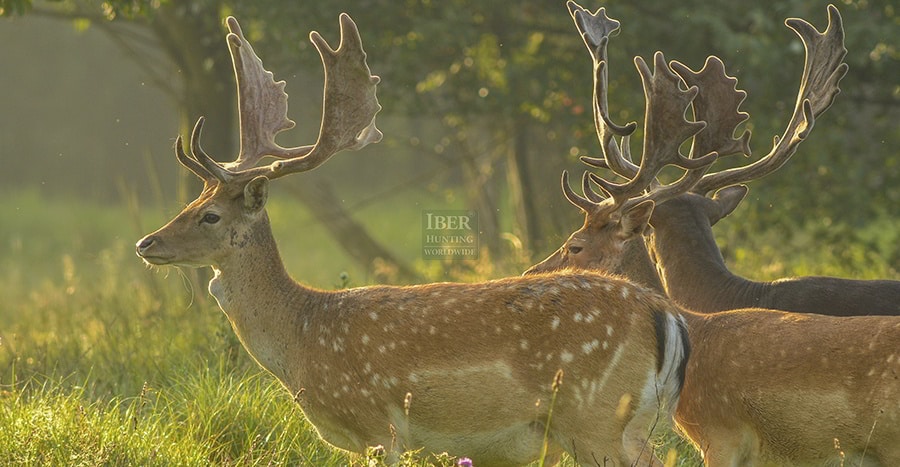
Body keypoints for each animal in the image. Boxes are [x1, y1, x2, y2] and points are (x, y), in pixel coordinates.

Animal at [132, 12, 688, 466]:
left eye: (210, 215)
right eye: (191, 203)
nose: (147, 244)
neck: (300, 337)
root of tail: (666, 315)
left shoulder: (378, 425)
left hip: (594, 416)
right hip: (631, 426)